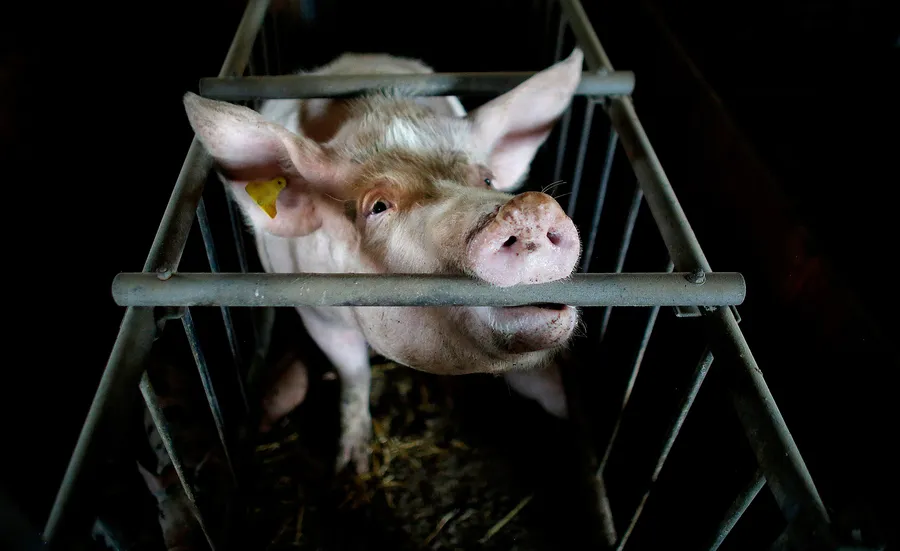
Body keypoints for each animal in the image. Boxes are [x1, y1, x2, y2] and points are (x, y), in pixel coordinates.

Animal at [182, 48, 586, 474]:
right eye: (378, 206)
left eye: (488, 180)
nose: (531, 208)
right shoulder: (315, 310)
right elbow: (353, 371)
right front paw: (351, 468)